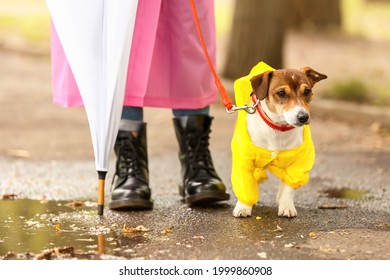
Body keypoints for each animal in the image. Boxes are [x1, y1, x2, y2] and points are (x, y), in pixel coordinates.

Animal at [232, 61, 326, 219]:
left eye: (307, 91)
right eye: (281, 93)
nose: (303, 117)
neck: (277, 128)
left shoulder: (298, 165)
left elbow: (289, 187)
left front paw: (286, 206)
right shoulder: (245, 162)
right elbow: (246, 185)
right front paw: (244, 207)